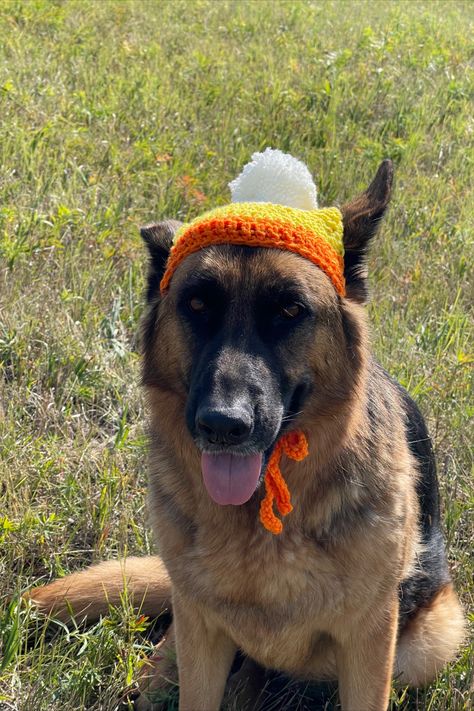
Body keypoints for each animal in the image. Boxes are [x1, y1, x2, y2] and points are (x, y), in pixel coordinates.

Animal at [27, 152, 464, 711]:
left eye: (290, 310)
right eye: (196, 305)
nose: (223, 425)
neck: (259, 524)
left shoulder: (370, 641)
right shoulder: (203, 635)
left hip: (432, 637)